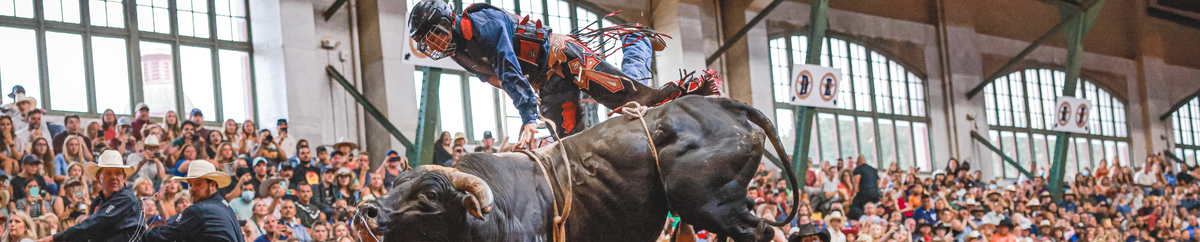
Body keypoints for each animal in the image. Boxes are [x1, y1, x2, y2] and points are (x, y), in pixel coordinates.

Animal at [350, 96, 796, 241]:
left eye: (430, 194)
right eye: (395, 183)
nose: (367, 211)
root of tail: (722, 104)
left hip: (713, 205)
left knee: (760, 231)